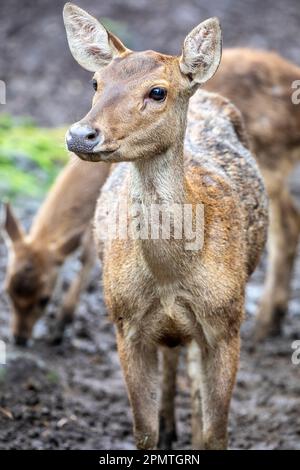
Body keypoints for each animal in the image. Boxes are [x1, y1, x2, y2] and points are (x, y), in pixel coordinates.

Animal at [62, 2, 268, 452]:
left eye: (158, 91)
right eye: (96, 82)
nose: (81, 134)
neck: (171, 275)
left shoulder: (227, 323)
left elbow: (217, 433)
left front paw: (201, 433)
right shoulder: (124, 324)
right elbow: (144, 433)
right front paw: (161, 428)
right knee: (173, 353)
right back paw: (172, 425)